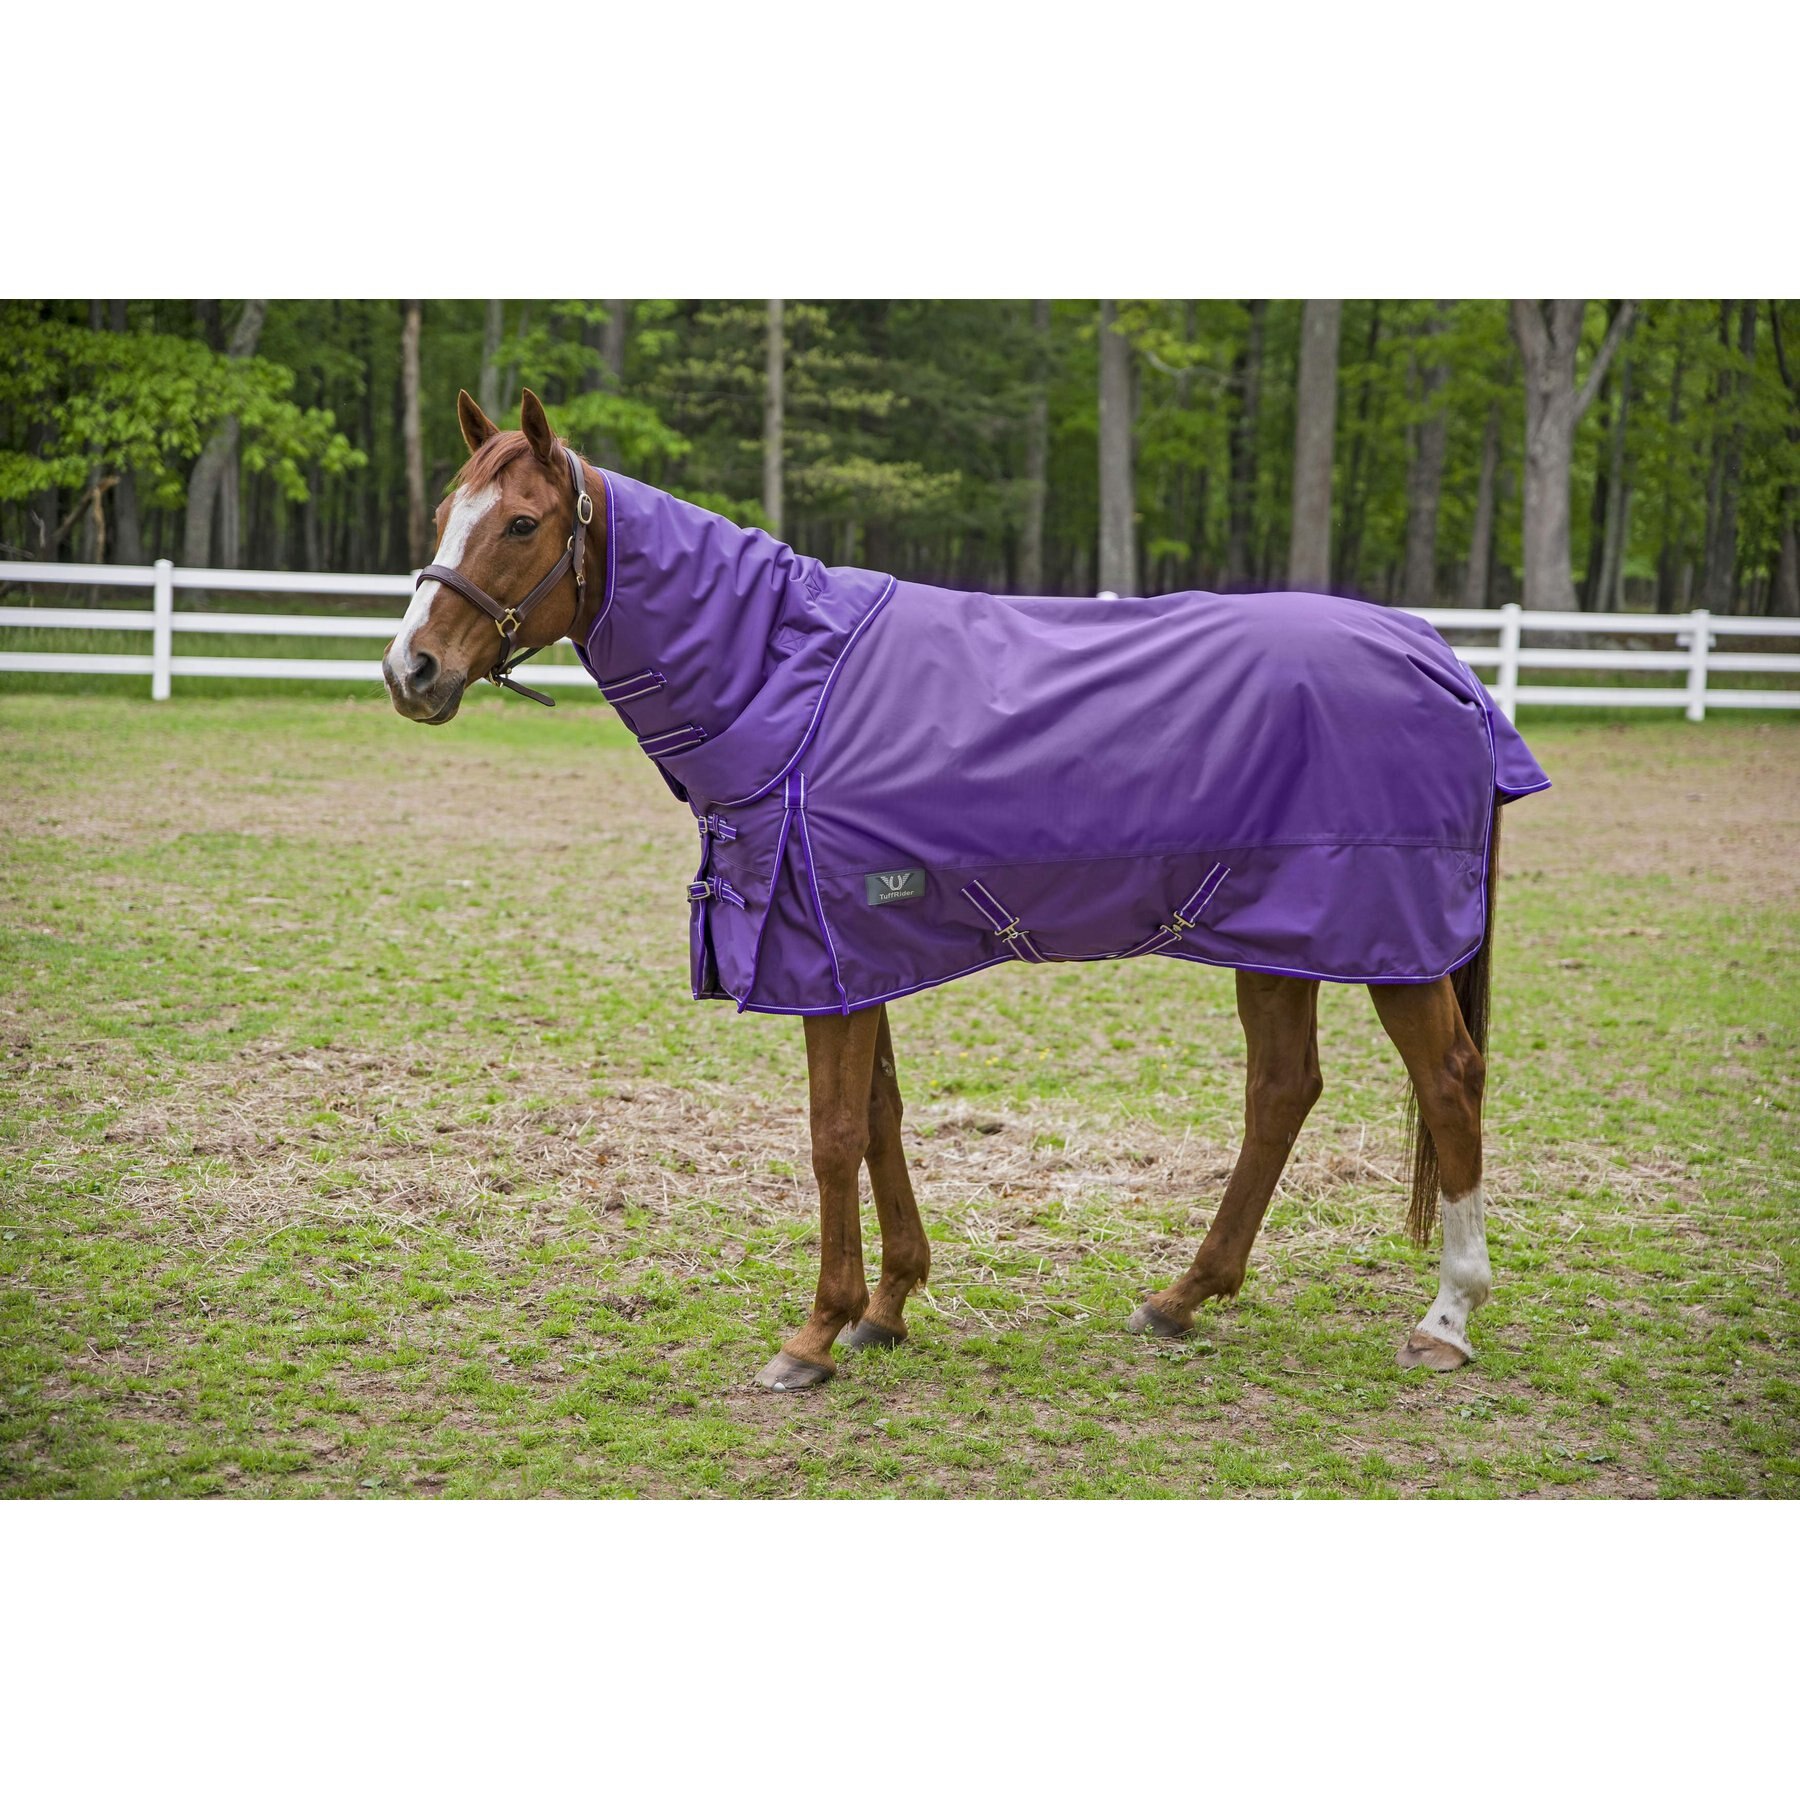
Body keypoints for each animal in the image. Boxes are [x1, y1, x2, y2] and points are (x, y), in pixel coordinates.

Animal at [383, 388, 1547, 1393]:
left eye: (522, 522)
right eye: (444, 516)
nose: (412, 671)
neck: (786, 682)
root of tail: (1443, 660)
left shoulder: (820, 954)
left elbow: (832, 1134)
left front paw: (815, 1334)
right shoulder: (852, 954)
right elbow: (881, 1118)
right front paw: (888, 1307)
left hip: (1389, 947)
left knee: (1449, 1083)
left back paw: (1447, 1319)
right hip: (1271, 936)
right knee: (1282, 1092)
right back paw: (1181, 1298)